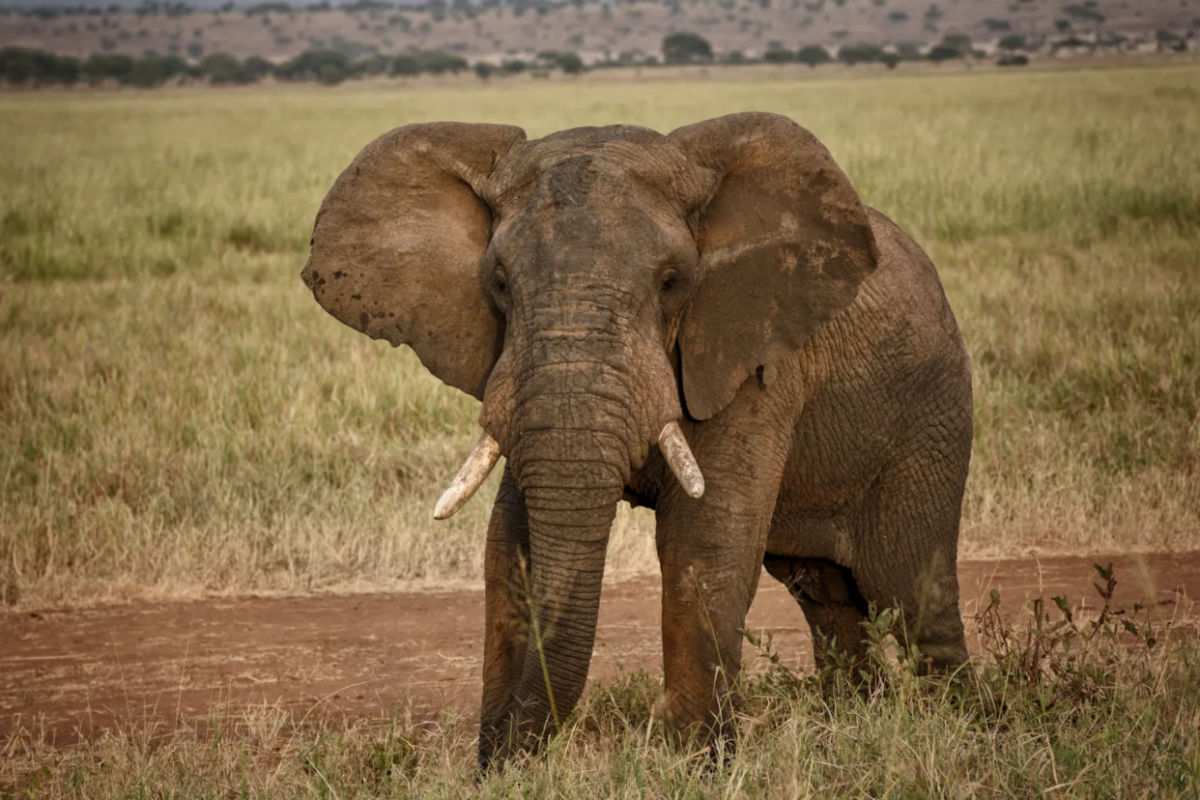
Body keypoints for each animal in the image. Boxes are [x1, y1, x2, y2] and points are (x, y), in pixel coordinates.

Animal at [300, 112, 972, 769]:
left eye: (673, 282)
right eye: (498, 282)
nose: (506, 754)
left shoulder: (748, 359)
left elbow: (702, 543)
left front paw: (695, 763)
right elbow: (508, 543)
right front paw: (500, 766)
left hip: (930, 418)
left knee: (913, 592)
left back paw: (958, 726)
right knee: (827, 596)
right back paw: (853, 723)